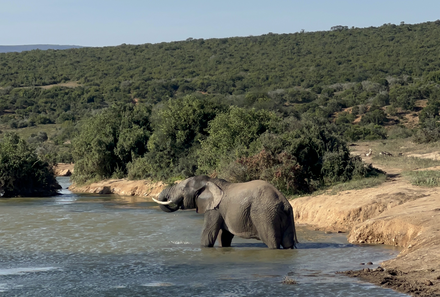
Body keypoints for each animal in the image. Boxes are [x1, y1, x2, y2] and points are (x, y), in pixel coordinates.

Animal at [152, 175, 300, 249]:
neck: (210, 181)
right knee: (288, 243)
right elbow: (224, 236)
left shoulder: (215, 209)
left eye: (182, 189)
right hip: (280, 215)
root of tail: (285, 203)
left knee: (272, 242)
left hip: (264, 214)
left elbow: (209, 234)